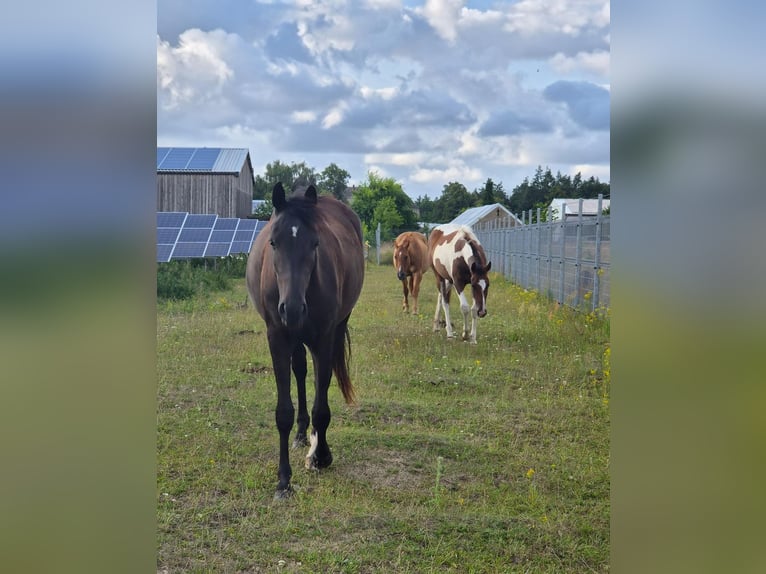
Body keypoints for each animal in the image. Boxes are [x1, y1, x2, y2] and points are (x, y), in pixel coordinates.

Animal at [246, 183, 365, 498]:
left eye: (315, 244)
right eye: (274, 242)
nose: (292, 308)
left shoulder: (324, 337)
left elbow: (321, 408)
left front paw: (321, 455)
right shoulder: (277, 337)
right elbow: (283, 412)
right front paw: (283, 480)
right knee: (300, 370)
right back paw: (301, 433)